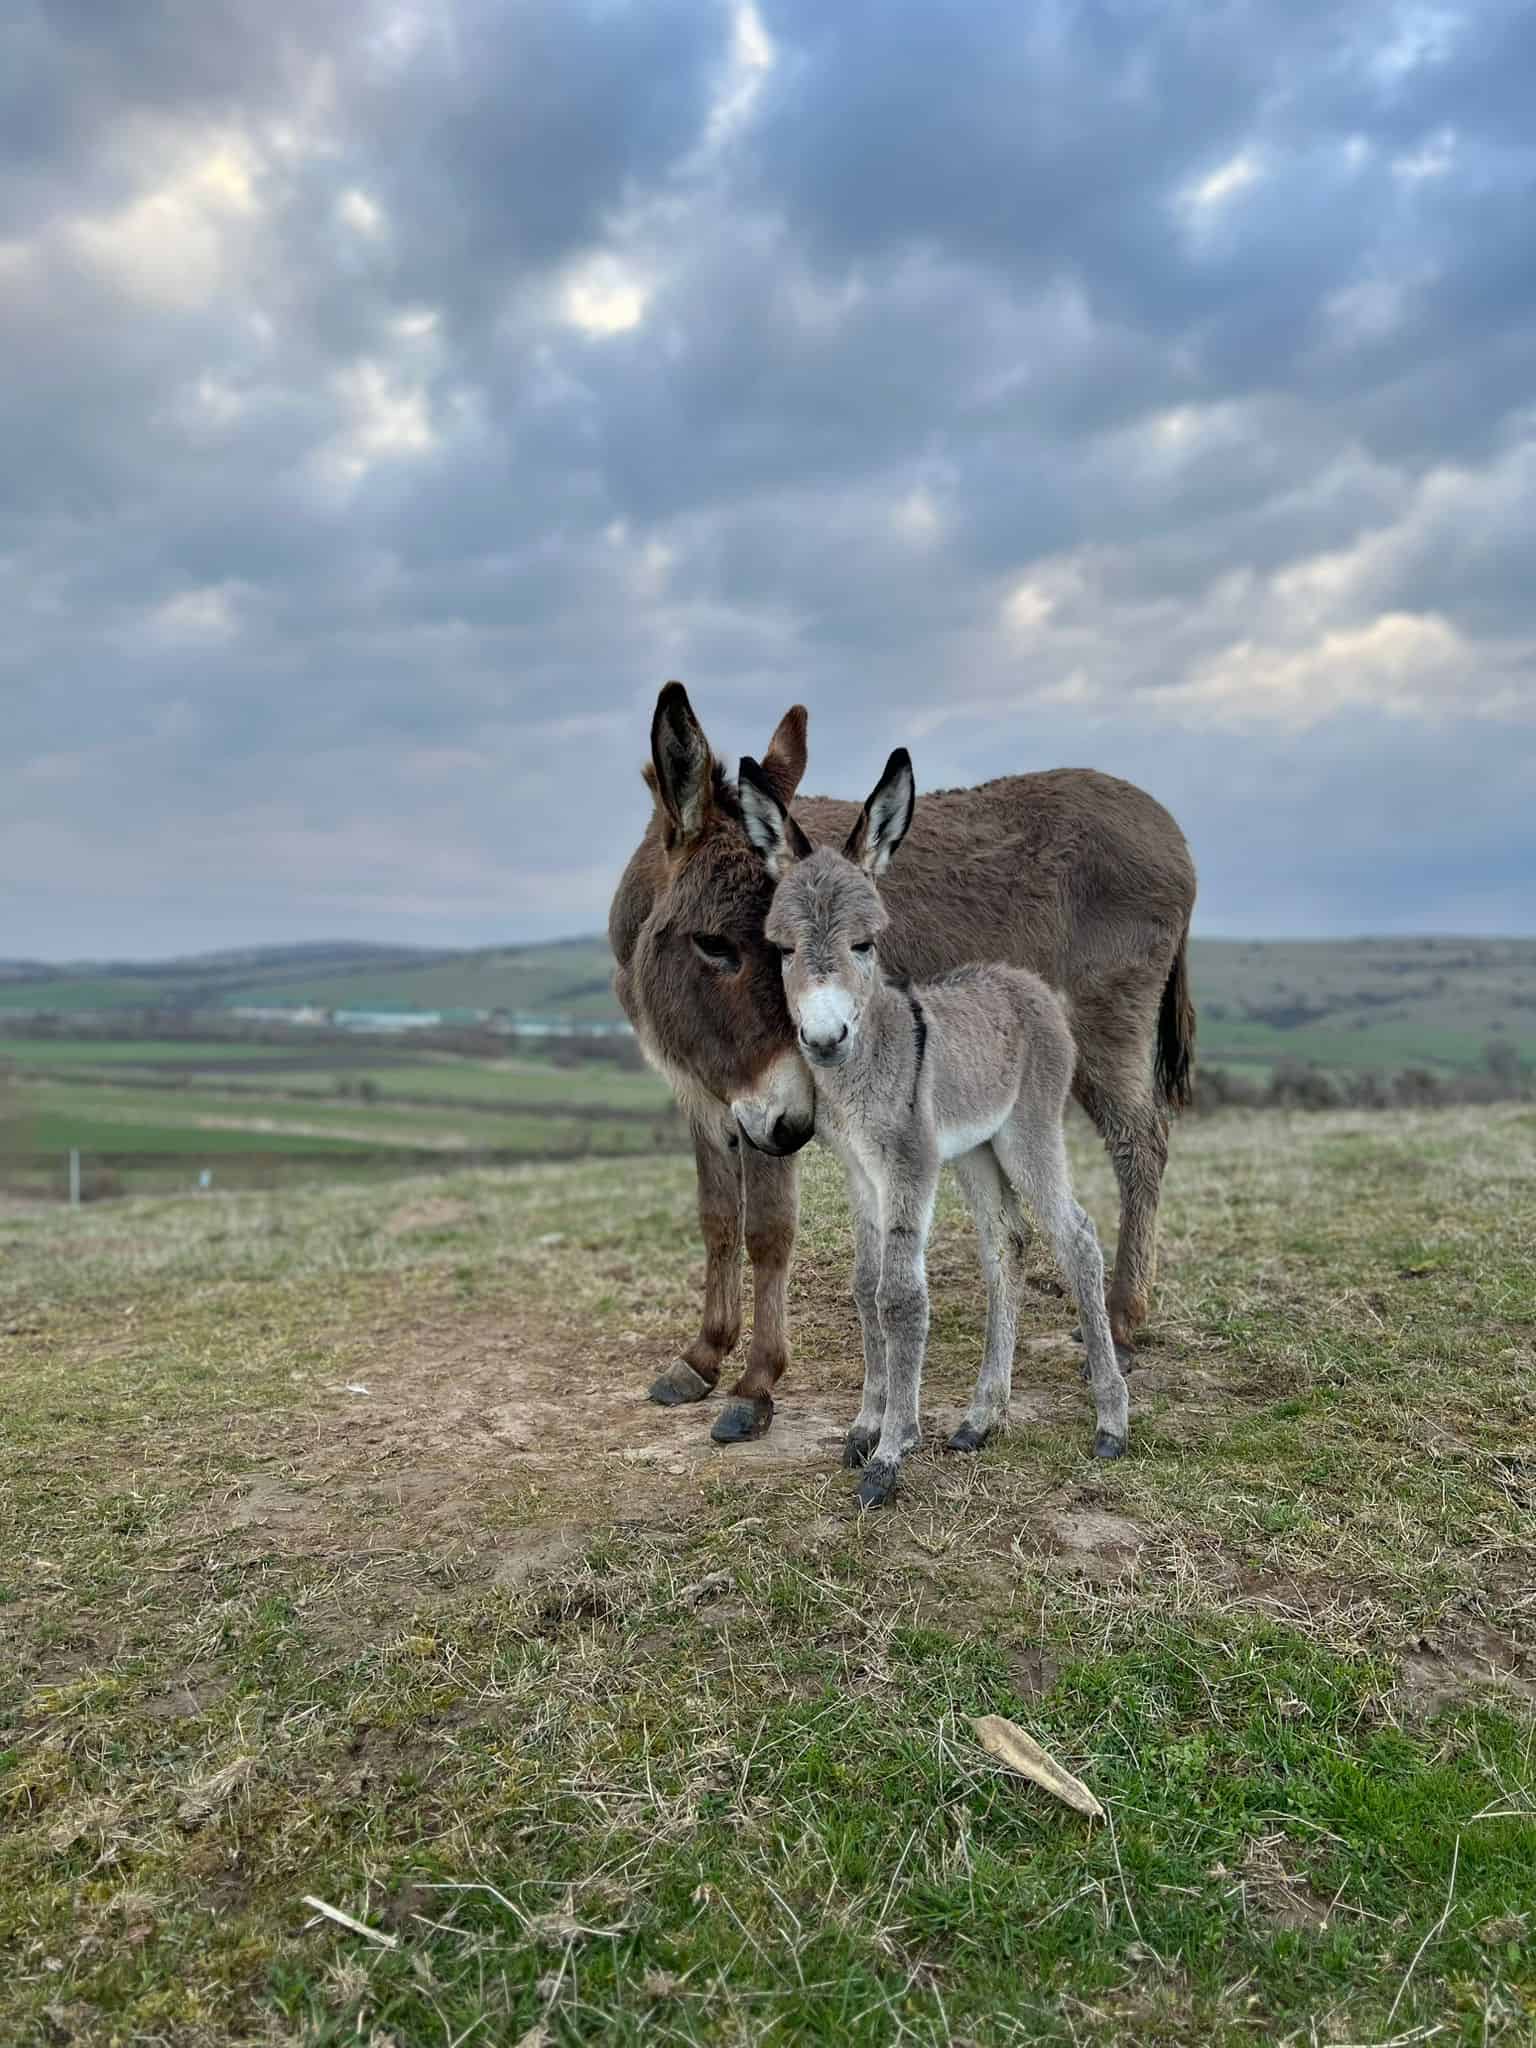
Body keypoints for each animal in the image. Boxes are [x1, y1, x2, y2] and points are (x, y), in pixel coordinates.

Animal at [733, 749, 1130, 1507]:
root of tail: (1027, 983)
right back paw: (982, 1417)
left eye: (864, 944)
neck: (868, 1058)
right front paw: (865, 1426)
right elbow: (864, 1287)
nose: (823, 1039)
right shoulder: (861, 1170)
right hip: (978, 1149)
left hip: (1028, 1134)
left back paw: (1111, 1422)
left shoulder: (908, 1166)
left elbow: (901, 1299)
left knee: (1078, 1240)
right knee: (1006, 1244)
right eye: (783, 949)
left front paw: (891, 1453)